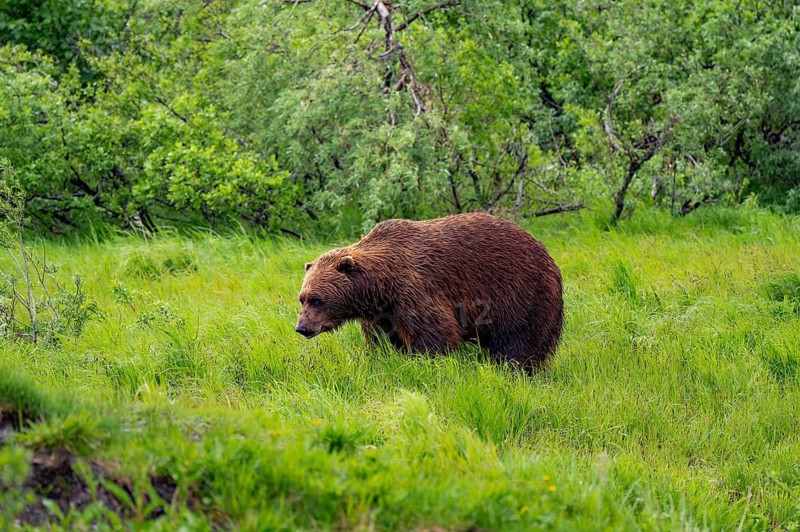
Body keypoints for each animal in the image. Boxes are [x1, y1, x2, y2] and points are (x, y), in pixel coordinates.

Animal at [296, 212, 563, 369]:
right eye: (302, 298)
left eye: (317, 299)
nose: (302, 327)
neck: (382, 285)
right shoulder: (382, 311)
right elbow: (381, 338)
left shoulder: (415, 290)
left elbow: (435, 333)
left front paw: (424, 362)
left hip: (522, 294)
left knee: (517, 341)